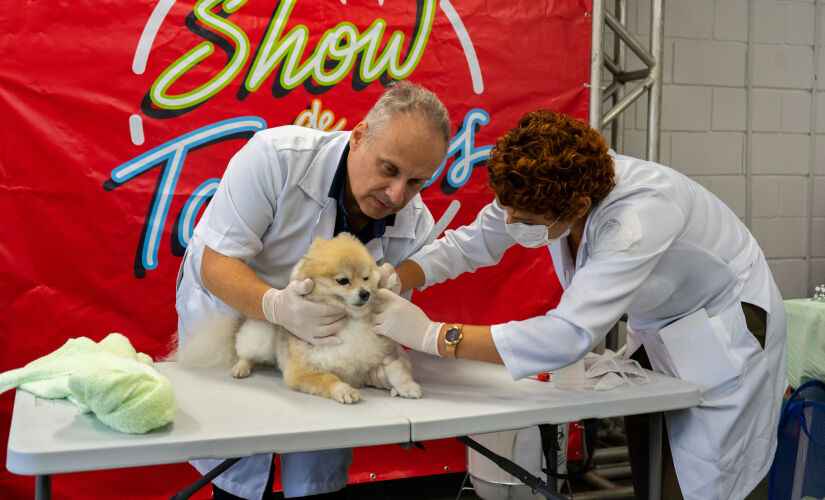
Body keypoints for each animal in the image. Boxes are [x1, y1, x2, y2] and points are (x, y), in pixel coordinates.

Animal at [181, 232, 424, 404]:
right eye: (343, 281)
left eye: (366, 277)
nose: (365, 293)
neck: (350, 321)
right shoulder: (302, 372)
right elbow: (329, 378)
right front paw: (345, 390)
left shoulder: (381, 356)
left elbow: (396, 369)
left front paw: (408, 386)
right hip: (261, 334)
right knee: (245, 352)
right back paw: (241, 367)